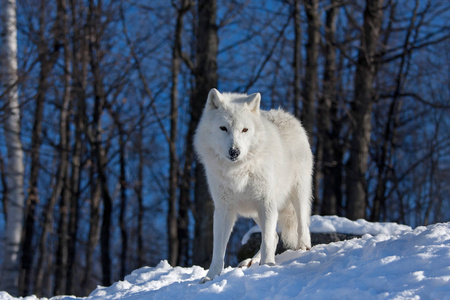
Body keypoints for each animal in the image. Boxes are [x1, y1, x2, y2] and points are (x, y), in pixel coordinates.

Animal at [193, 88, 312, 282]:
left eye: (244, 130)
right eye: (223, 128)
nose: (234, 151)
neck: (238, 171)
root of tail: (286, 114)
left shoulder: (267, 203)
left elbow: (267, 242)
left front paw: (268, 266)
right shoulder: (223, 209)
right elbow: (218, 250)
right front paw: (211, 277)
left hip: (298, 193)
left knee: (301, 224)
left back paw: (302, 247)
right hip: (255, 212)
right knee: (274, 236)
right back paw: (251, 261)